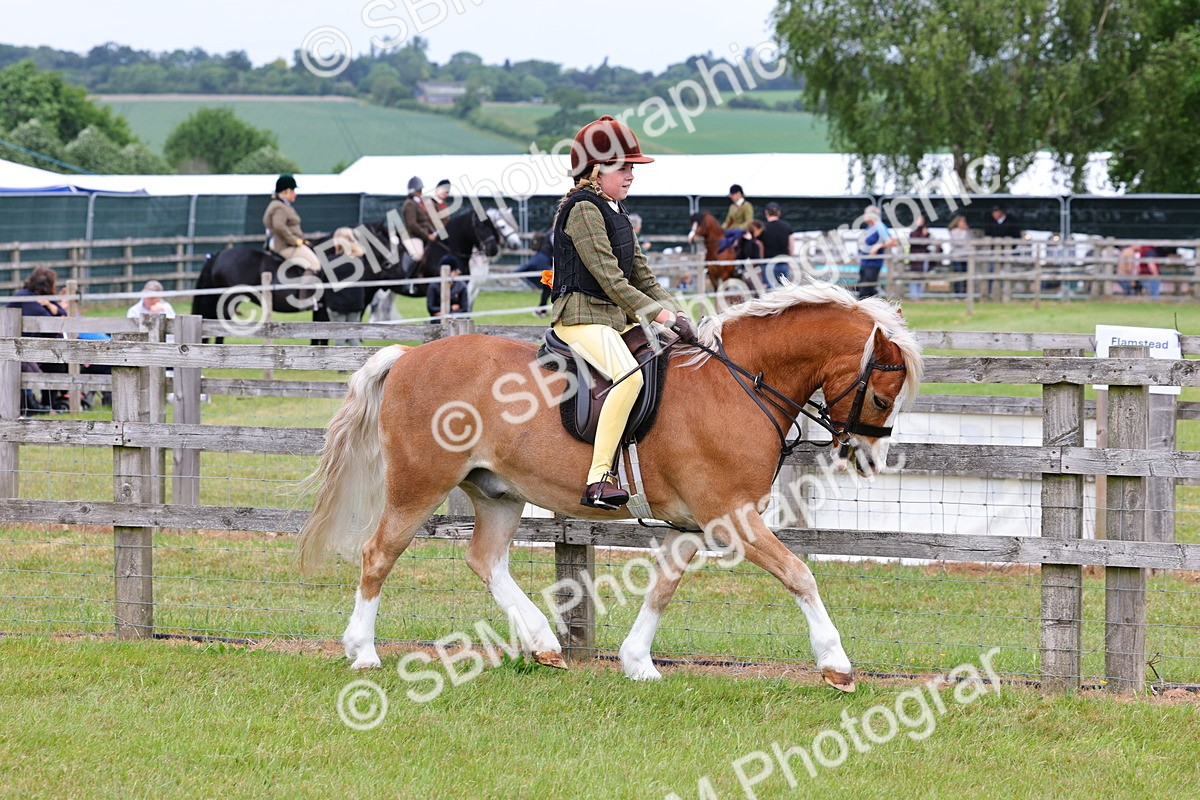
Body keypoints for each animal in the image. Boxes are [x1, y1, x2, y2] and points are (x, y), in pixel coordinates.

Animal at [296, 283, 923, 691]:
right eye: (881, 396)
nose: (870, 458)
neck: (736, 384)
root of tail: (407, 357)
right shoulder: (733, 517)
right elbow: (799, 574)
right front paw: (836, 664)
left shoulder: (691, 524)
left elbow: (663, 588)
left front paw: (637, 662)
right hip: (419, 485)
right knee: (378, 554)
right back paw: (363, 652)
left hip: (498, 493)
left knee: (486, 560)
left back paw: (544, 644)